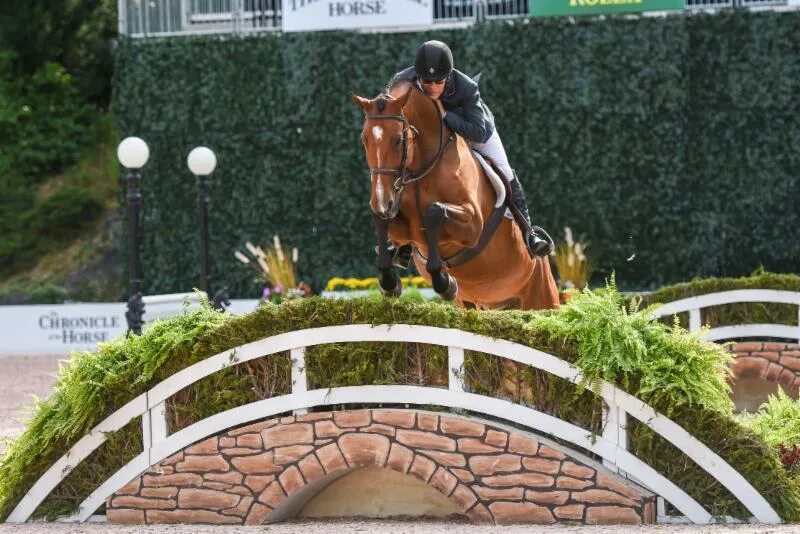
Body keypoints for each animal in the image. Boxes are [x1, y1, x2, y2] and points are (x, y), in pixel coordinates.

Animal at [350, 84, 556, 314]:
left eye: (398, 140)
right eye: (364, 139)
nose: (381, 202)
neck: (423, 168)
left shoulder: (473, 225)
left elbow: (434, 212)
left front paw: (444, 283)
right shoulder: (399, 221)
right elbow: (383, 223)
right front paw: (389, 282)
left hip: (543, 298)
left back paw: (536, 243)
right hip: (475, 304)